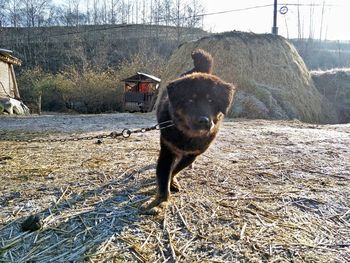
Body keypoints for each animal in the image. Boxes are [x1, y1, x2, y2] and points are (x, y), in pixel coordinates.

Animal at [142, 49, 235, 214]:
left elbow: (174, 170)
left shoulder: (192, 154)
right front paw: (160, 200)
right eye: (190, 100)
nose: (204, 120)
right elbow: (164, 176)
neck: (187, 136)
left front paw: (172, 183)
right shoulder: (167, 151)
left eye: (211, 100)